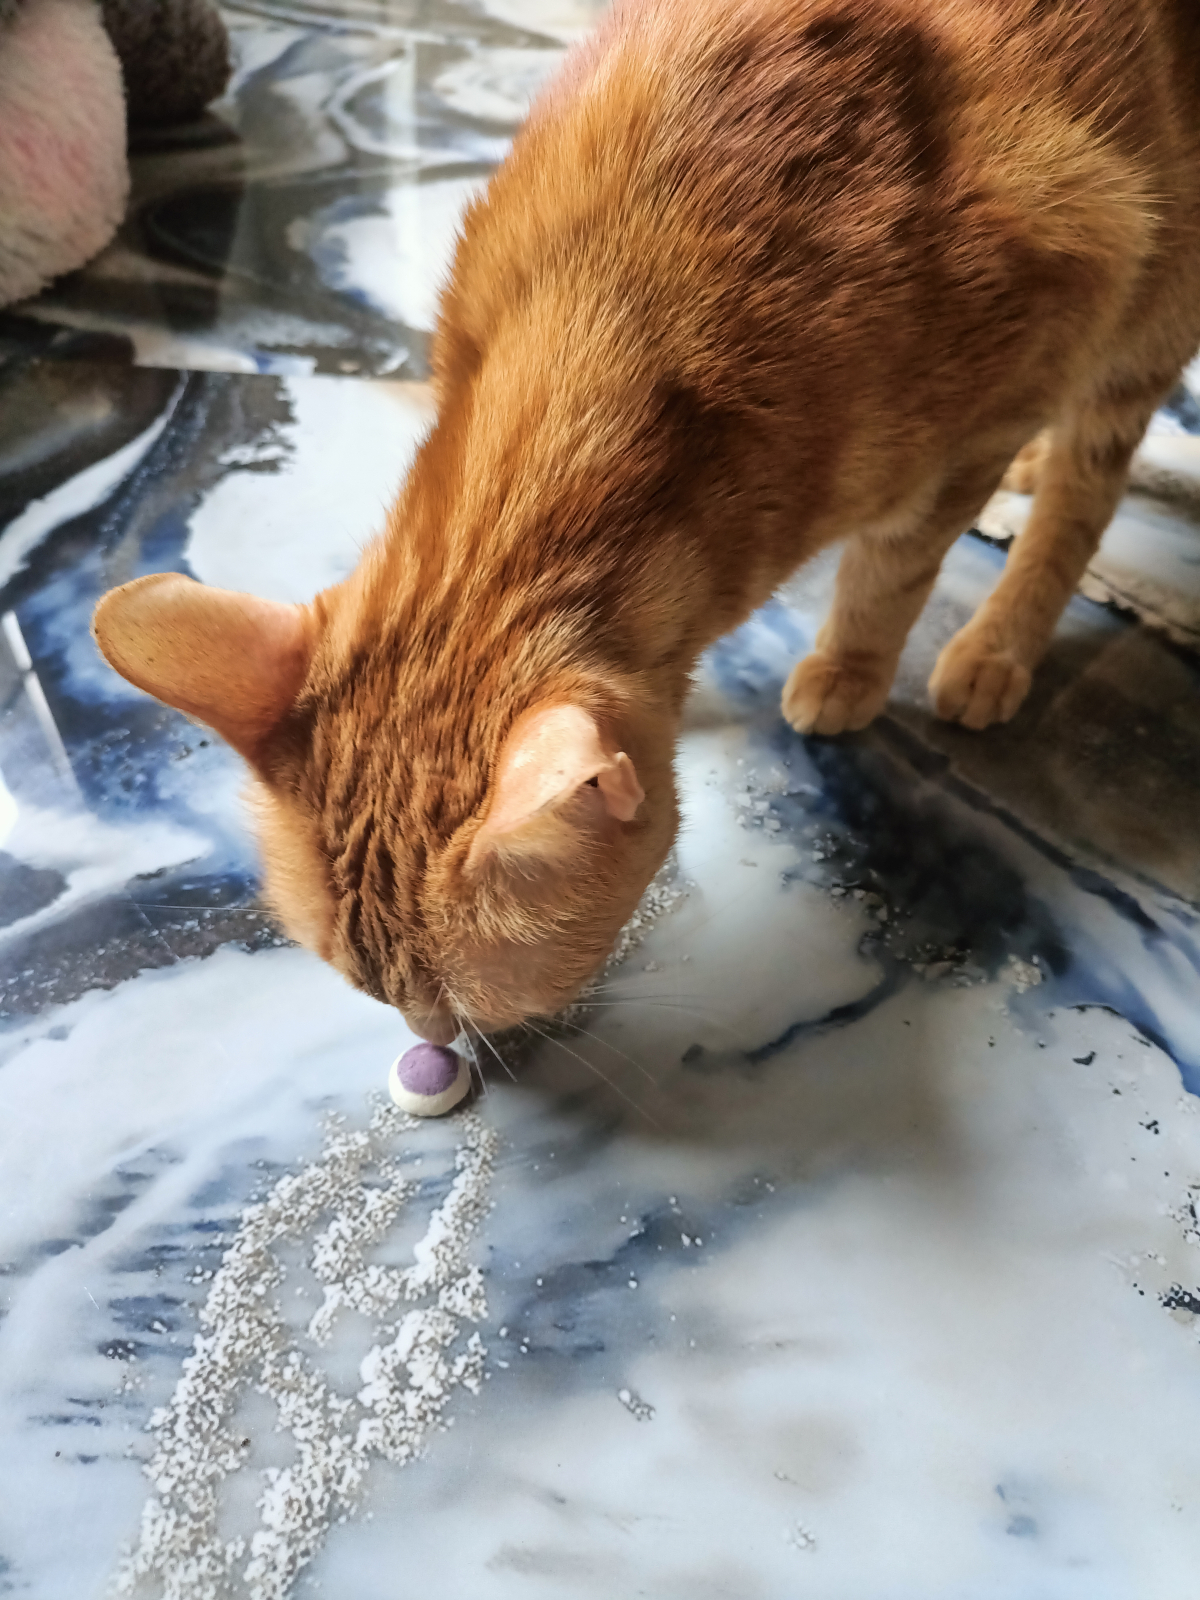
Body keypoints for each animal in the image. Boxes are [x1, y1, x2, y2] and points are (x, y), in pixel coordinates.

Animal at [94, 0, 1200, 1044]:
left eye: (452, 998)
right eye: (365, 984)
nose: (427, 1040)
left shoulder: (1000, 383)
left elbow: (890, 573)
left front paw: (850, 666)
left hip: (1148, 306)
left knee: (1084, 493)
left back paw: (999, 639)